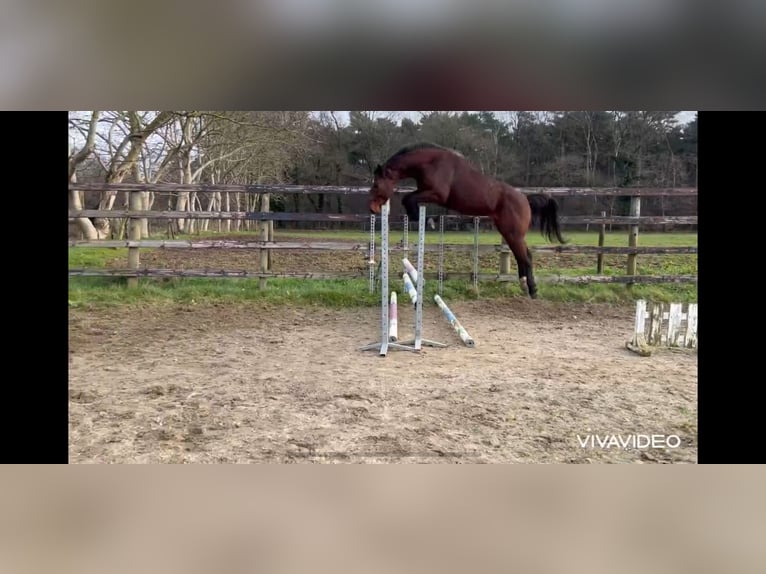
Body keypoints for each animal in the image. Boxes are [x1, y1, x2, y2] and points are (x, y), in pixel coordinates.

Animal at [368, 142, 568, 300]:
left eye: (376, 185)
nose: (372, 208)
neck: (431, 162)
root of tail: (525, 199)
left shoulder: (437, 194)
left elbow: (407, 199)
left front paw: (428, 221)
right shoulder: (427, 193)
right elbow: (409, 199)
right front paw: (425, 219)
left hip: (513, 233)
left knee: (525, 257)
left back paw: (530, 288)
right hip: (509, 233)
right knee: (524, 256)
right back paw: (526, 286)